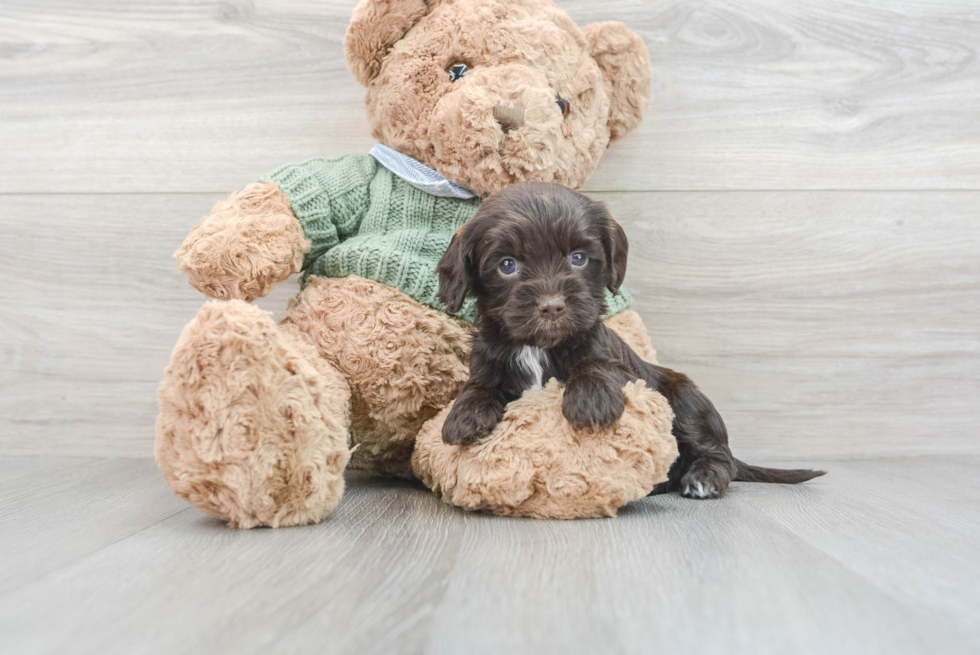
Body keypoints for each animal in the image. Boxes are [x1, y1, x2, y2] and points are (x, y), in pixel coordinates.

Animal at [432, 182, 824, 500]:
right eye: (507, 265)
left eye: (578, 258)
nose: (552, 306)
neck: (538, 347)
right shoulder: (489, 359)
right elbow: (479, 383)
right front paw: (464, 414)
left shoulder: (616, 361)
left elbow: (596, 365)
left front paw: (591, 401)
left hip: (686, 400)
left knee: (718, 453)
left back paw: (704, 478)